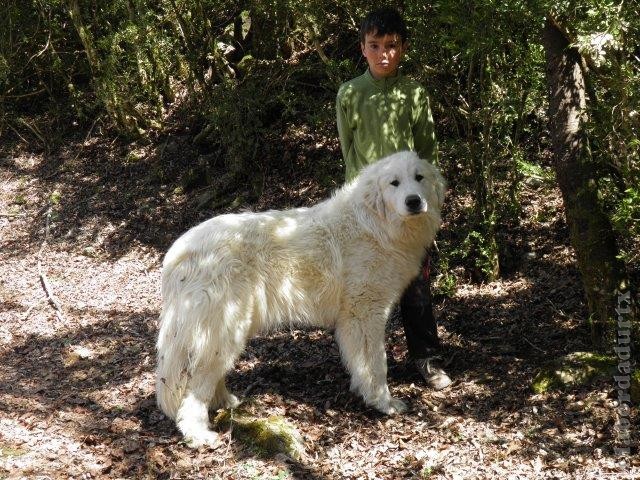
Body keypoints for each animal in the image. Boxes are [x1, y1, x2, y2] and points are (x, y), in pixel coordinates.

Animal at [155, 150, 444, 446]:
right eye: (394, 183)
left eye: (419, 177)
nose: (414, 201)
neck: (375, 224)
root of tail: (177, 253)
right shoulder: (365, 314)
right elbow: (377, 364)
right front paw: (383, 403)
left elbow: (360, 364)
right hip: (223, 328)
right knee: (195, 389)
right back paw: (199, 433)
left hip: (230, 330)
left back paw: (225, 401)